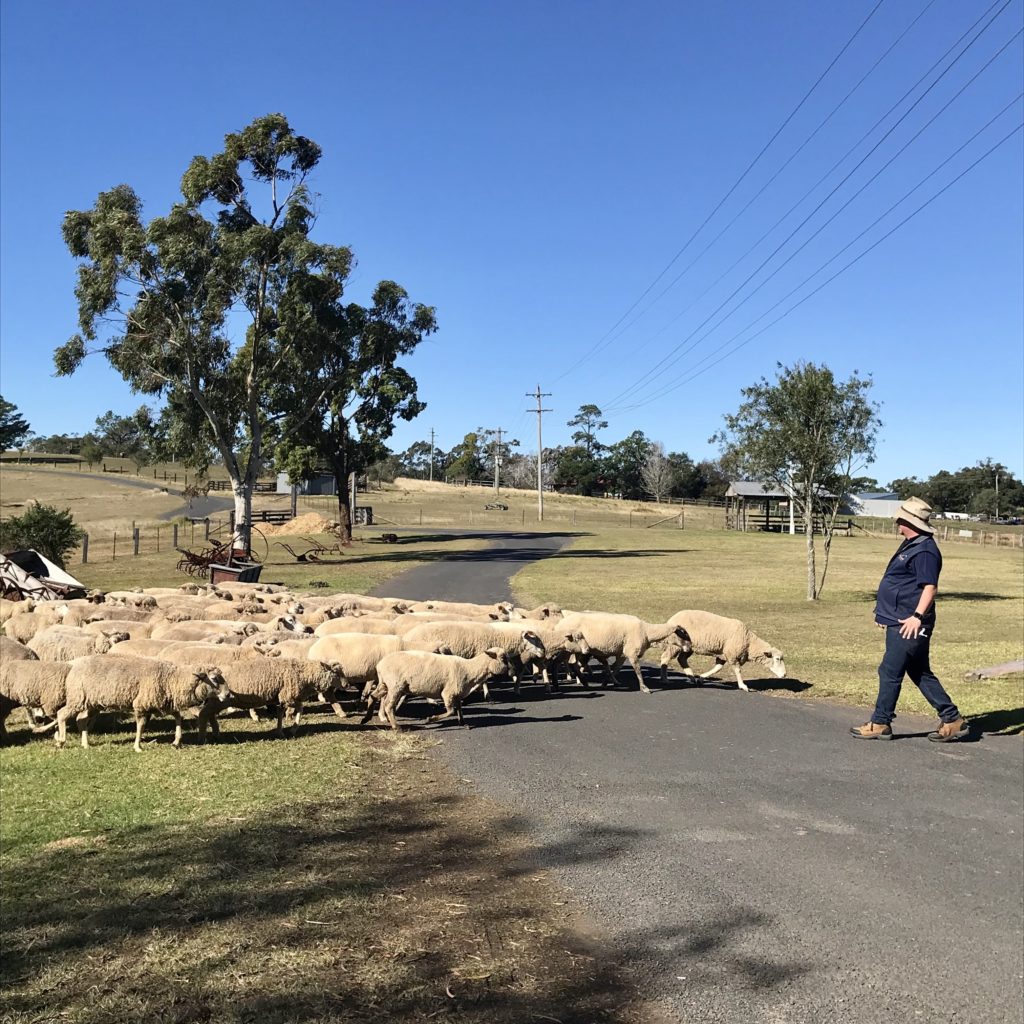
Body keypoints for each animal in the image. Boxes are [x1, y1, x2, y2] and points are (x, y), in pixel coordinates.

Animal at [57, 655, 232, 753]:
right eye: (214, 679)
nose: (228, 694)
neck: (172, 679)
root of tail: (72, 666)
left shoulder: (162, 703)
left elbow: (178, 718)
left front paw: (176, 741)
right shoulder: (142, 704)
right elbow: (140, 726)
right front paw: (138, 747)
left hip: (91, 703)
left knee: (81, 720)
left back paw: (85, 744)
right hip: (77, 698)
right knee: (61, 714)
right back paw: (61, 741)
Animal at [370, 647, 509, 729]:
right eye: (503, 658)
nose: (509, 670)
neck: (469, 669)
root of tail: (380, 665)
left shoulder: (457, 693)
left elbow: (459, 709)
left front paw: (463, 723)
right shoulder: (448, 692)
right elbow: (451, 711)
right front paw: (430, 719)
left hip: (385, 684)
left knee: (373, 696)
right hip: (395, 685)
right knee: (388, 705)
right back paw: (396, 726)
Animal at [557, 610, 692, 692]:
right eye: (684, 634)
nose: (690, 649)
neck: (647, 631)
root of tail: (559, 623)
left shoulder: (622, 653)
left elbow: (615, 668)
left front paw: (607, 682)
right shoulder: (631, 652)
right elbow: (638, 670)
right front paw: (644, 688)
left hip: (582, 650)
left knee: (575, 664)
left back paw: (583, 681)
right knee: (570, 663)